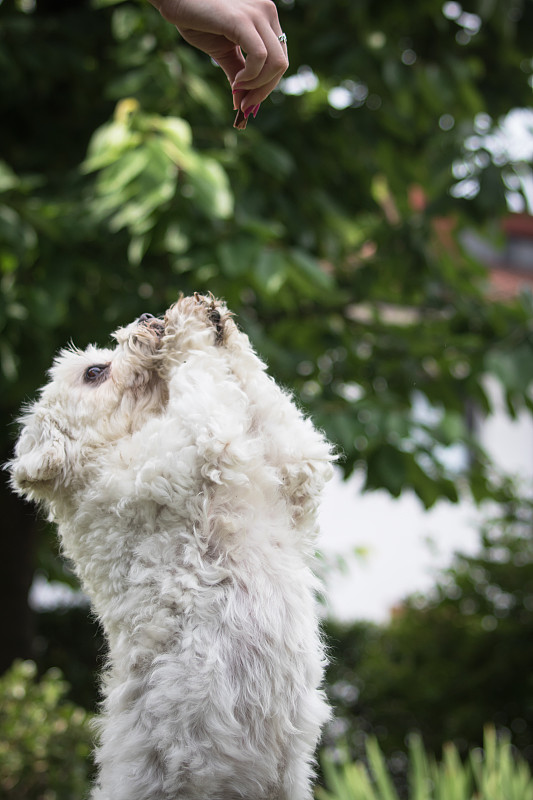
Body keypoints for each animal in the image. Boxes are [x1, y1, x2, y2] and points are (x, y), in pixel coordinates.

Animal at [9, 294, 332, 800]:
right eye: (94, 372)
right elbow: (201, 378)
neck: (108, 452)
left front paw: (220, 321)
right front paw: (186, 323)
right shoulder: (199, 440)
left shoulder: (295, 467)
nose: (145, 317)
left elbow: (265, 397)